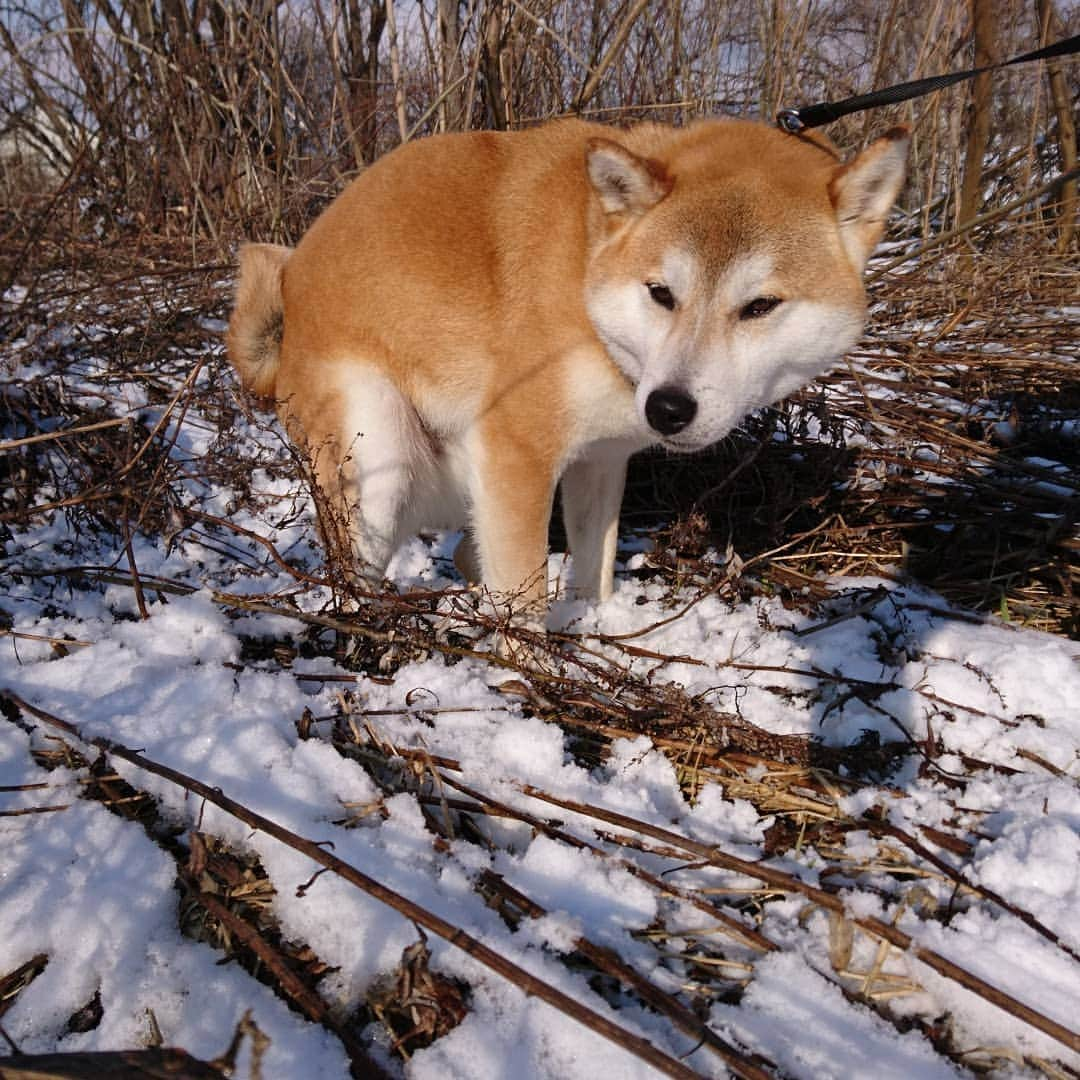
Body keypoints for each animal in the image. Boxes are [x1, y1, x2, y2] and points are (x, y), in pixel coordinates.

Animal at [225, 116, 902, 626]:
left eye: (761, 305)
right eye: (661, 292)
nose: (668, 408)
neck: (586, 277)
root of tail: (291, 286)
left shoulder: (600, 462)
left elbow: (592, 572)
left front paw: (593, 631)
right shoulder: (516, 454)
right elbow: (524, 599)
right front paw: (528, 681)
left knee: (468, 557)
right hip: (380, 460)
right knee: (357, 574)